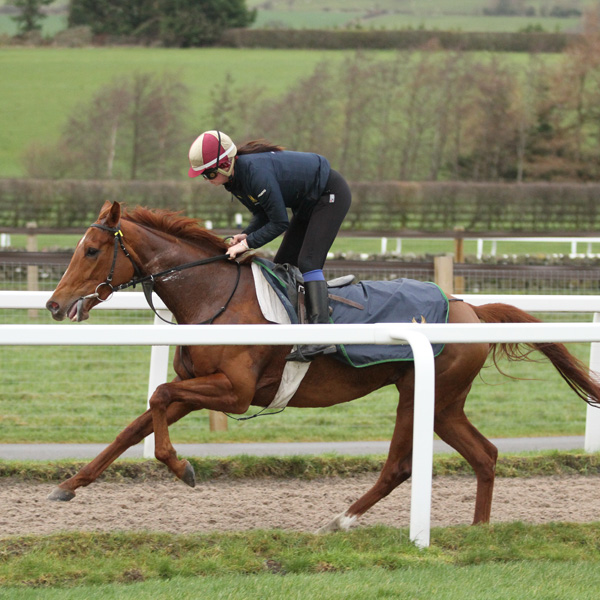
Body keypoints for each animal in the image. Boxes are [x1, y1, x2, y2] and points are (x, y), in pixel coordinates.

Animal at [44, 202, 596, 528]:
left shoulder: (234, 391)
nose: (54, 304)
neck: (215, 296)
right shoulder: (198, 385)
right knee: (485, 454)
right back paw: (479, 529)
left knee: (400, 465)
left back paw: (342, 520)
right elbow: (134, 426)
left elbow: (157, 399)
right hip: (444, 404)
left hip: (422, 394)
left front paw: (182, 468)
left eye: (91, 249)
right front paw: (69, 485)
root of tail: (471, 308)